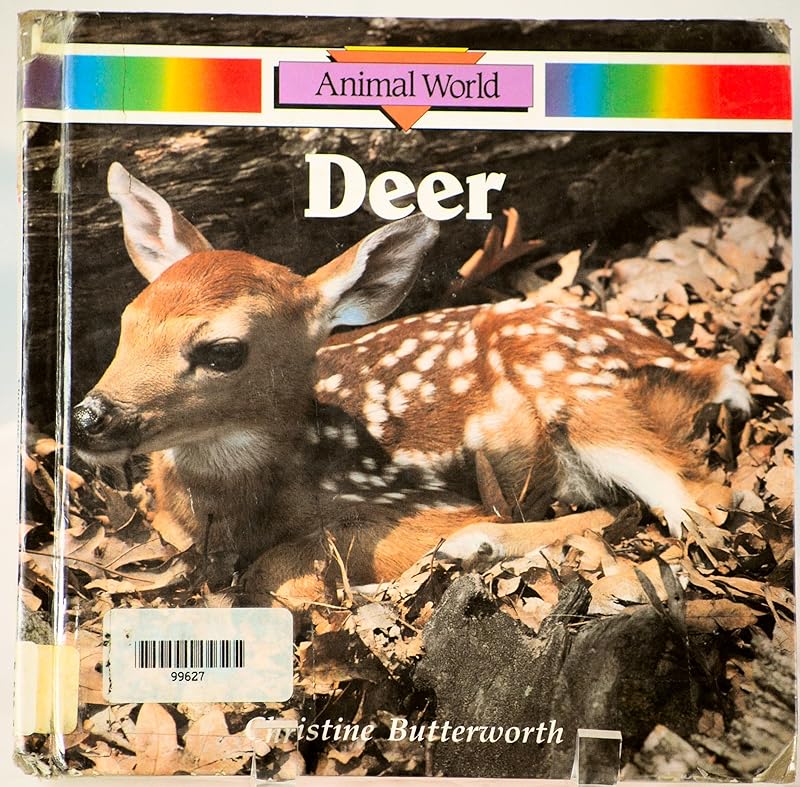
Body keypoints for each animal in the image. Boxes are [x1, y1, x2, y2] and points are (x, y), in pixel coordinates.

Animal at [71, 162, 750, 607]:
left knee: (687, 504)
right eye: (128, 323)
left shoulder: (406, 500)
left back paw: (473, 546)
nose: (90, 417)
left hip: (585, 400)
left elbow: (281, 571)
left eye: (223, 351)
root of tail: (700, 366)